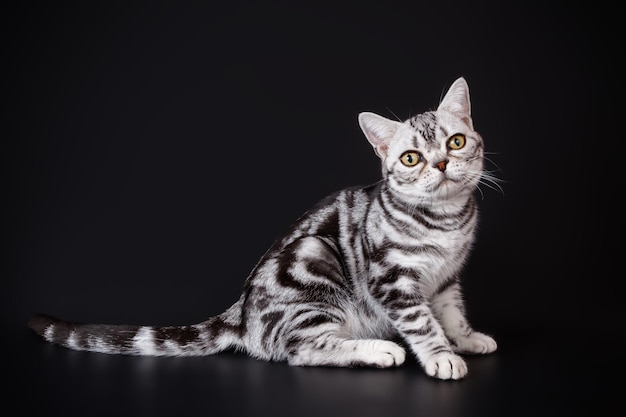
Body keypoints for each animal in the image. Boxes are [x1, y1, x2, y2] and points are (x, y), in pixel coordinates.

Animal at [29, 76, 498, 378]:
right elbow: (423, 322)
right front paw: (441, 356)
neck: (445, 221)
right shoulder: (394, 281)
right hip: (313, 262)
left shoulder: (446, 278)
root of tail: (240, 314)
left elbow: (451, 313)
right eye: (411, 158)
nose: (440, 163)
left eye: (456, 142)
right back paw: (379, 350)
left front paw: (466, 339)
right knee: (302, 350)